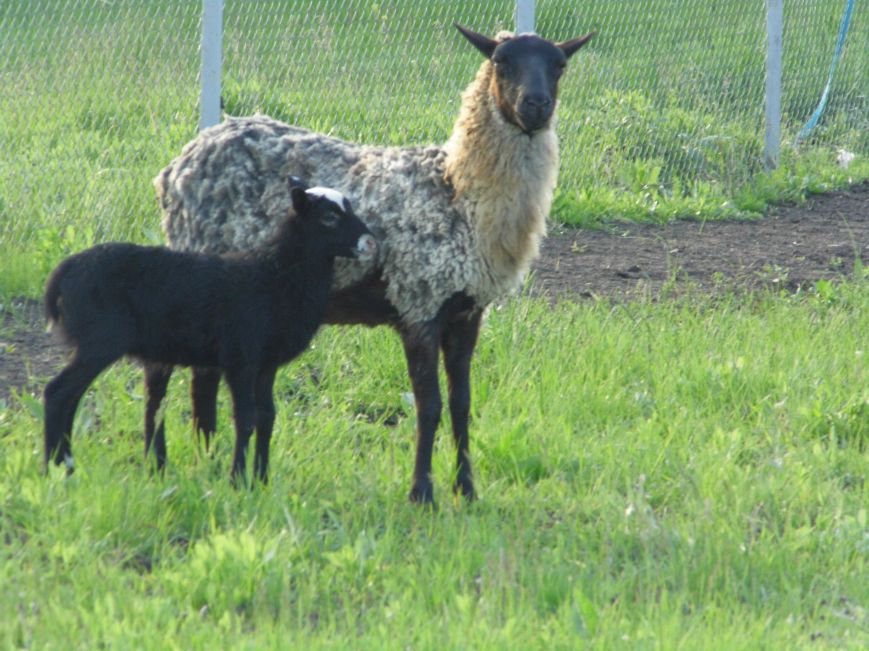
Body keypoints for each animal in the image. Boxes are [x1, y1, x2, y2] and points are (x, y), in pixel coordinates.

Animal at [43, 183, 376, 484]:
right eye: (329, 217)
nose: (370, 243)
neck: (275, 275)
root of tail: (63, 272)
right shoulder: (240, 359)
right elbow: (246, 419)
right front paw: (238, 480)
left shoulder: (266, 364)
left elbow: (267, 418)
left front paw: (263, 479)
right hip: (99, 341)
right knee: (58, 392)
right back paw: (52, 467)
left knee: (72, 397)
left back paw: (66, 465)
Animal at [154, 24, 588, 504]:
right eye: (501, 62)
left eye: (559, 65)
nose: (536, 105)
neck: (459, 195)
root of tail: (181, 161)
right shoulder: (419, 302)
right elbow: (430, 406)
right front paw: (422, 493)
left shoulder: (467, 312)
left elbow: (462, 404)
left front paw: (467, 490)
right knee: (192, 375)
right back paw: (191, 461)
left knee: (203, 377)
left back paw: (208, 459)